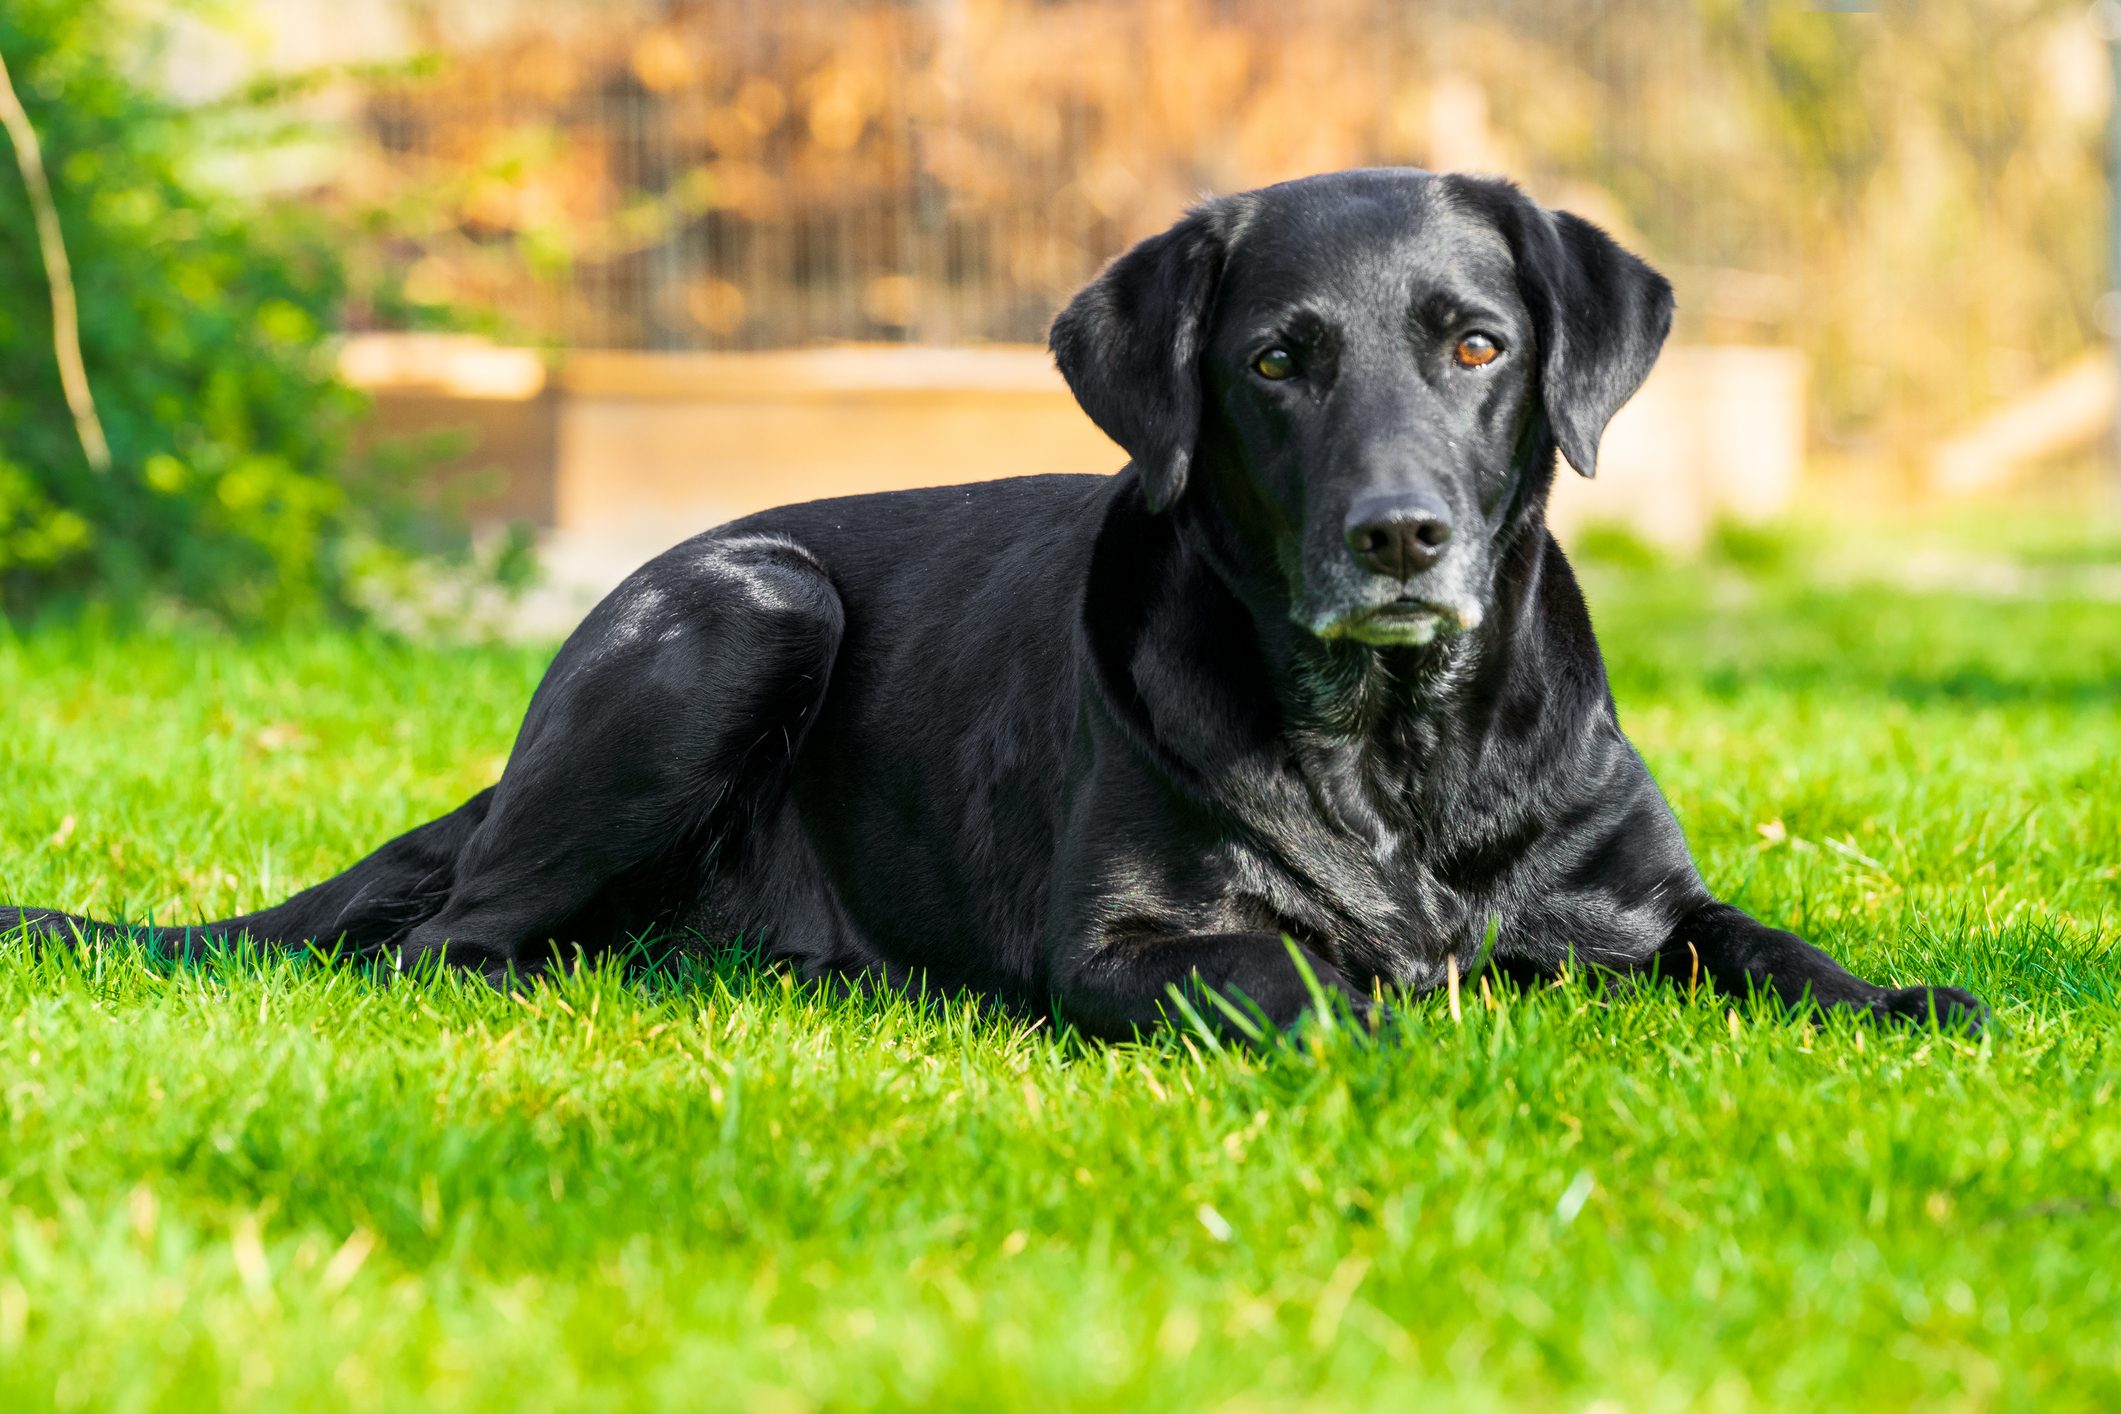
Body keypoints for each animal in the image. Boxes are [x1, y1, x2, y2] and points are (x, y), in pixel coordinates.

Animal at [4, 173, 1985, 1038]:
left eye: (1477, 345)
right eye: (1279, 360)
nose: (1401, 537)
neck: (1394, 758)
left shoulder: (1640, 900)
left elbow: (1769, 947)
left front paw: (1904, 995)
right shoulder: (1130, 940)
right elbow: (1300, 976)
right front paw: (1412, 1011)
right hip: (751, 598)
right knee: (448, 944)